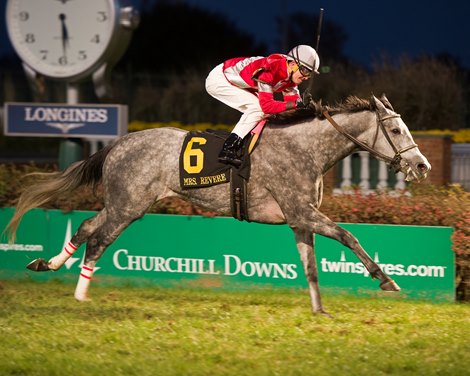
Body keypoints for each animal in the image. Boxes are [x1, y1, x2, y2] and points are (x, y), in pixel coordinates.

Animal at [3, 93, 430, 314]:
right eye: (396, 129)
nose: (422, 165)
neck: (307, 147)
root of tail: (119, 143)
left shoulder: (298, 219)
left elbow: (311, 267)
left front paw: (319, 310)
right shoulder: (302, 211)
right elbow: (348, 236)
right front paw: (386, 279)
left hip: (123, 201)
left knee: (86, 227)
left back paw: (47, 265)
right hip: (129, 206)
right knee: (99, 239)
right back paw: (80, 294)